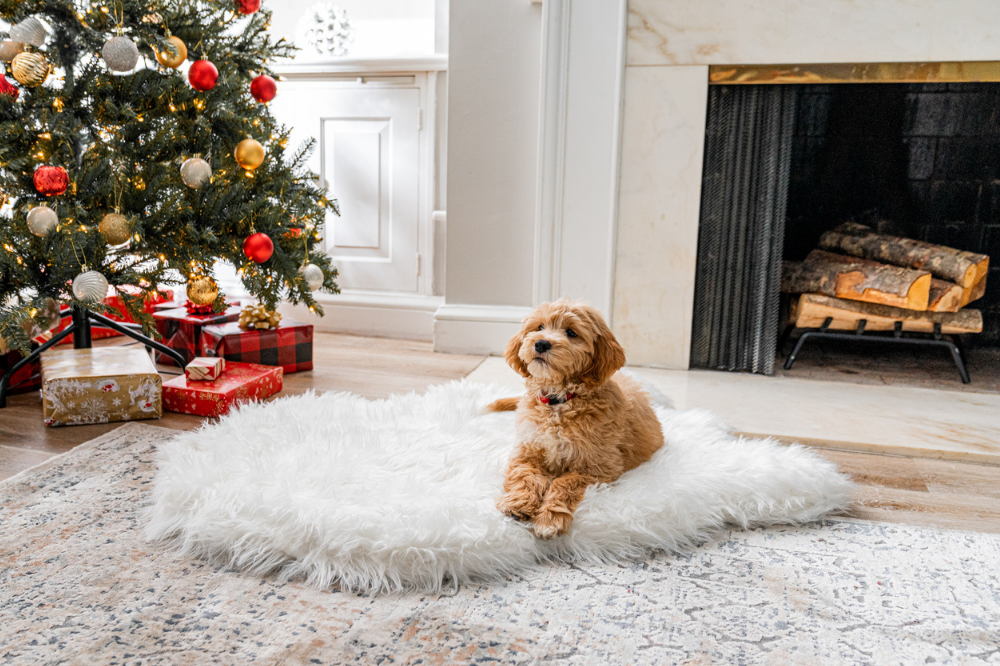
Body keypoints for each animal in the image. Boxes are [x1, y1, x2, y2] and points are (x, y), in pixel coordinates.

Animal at [486, 298, 664, 536]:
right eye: (539, 327)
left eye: (571, 332)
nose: (541, 343)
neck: (559, 401)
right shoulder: (526, 452)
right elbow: (525, 474)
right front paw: (518, 502)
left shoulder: (598, 466)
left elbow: (564, 482)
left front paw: (549, 519)